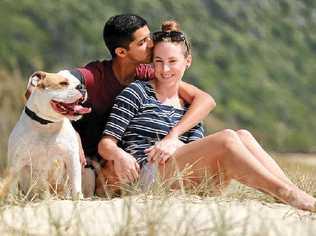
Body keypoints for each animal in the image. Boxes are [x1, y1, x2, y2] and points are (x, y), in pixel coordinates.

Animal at [7, 70, 90, 199]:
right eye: (63, 83)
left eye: (79, 82)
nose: (82, 87)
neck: (47, 124)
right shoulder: (16, 162)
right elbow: (12, 185)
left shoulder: (71, 157)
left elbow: (75, 181)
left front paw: (78, 197)